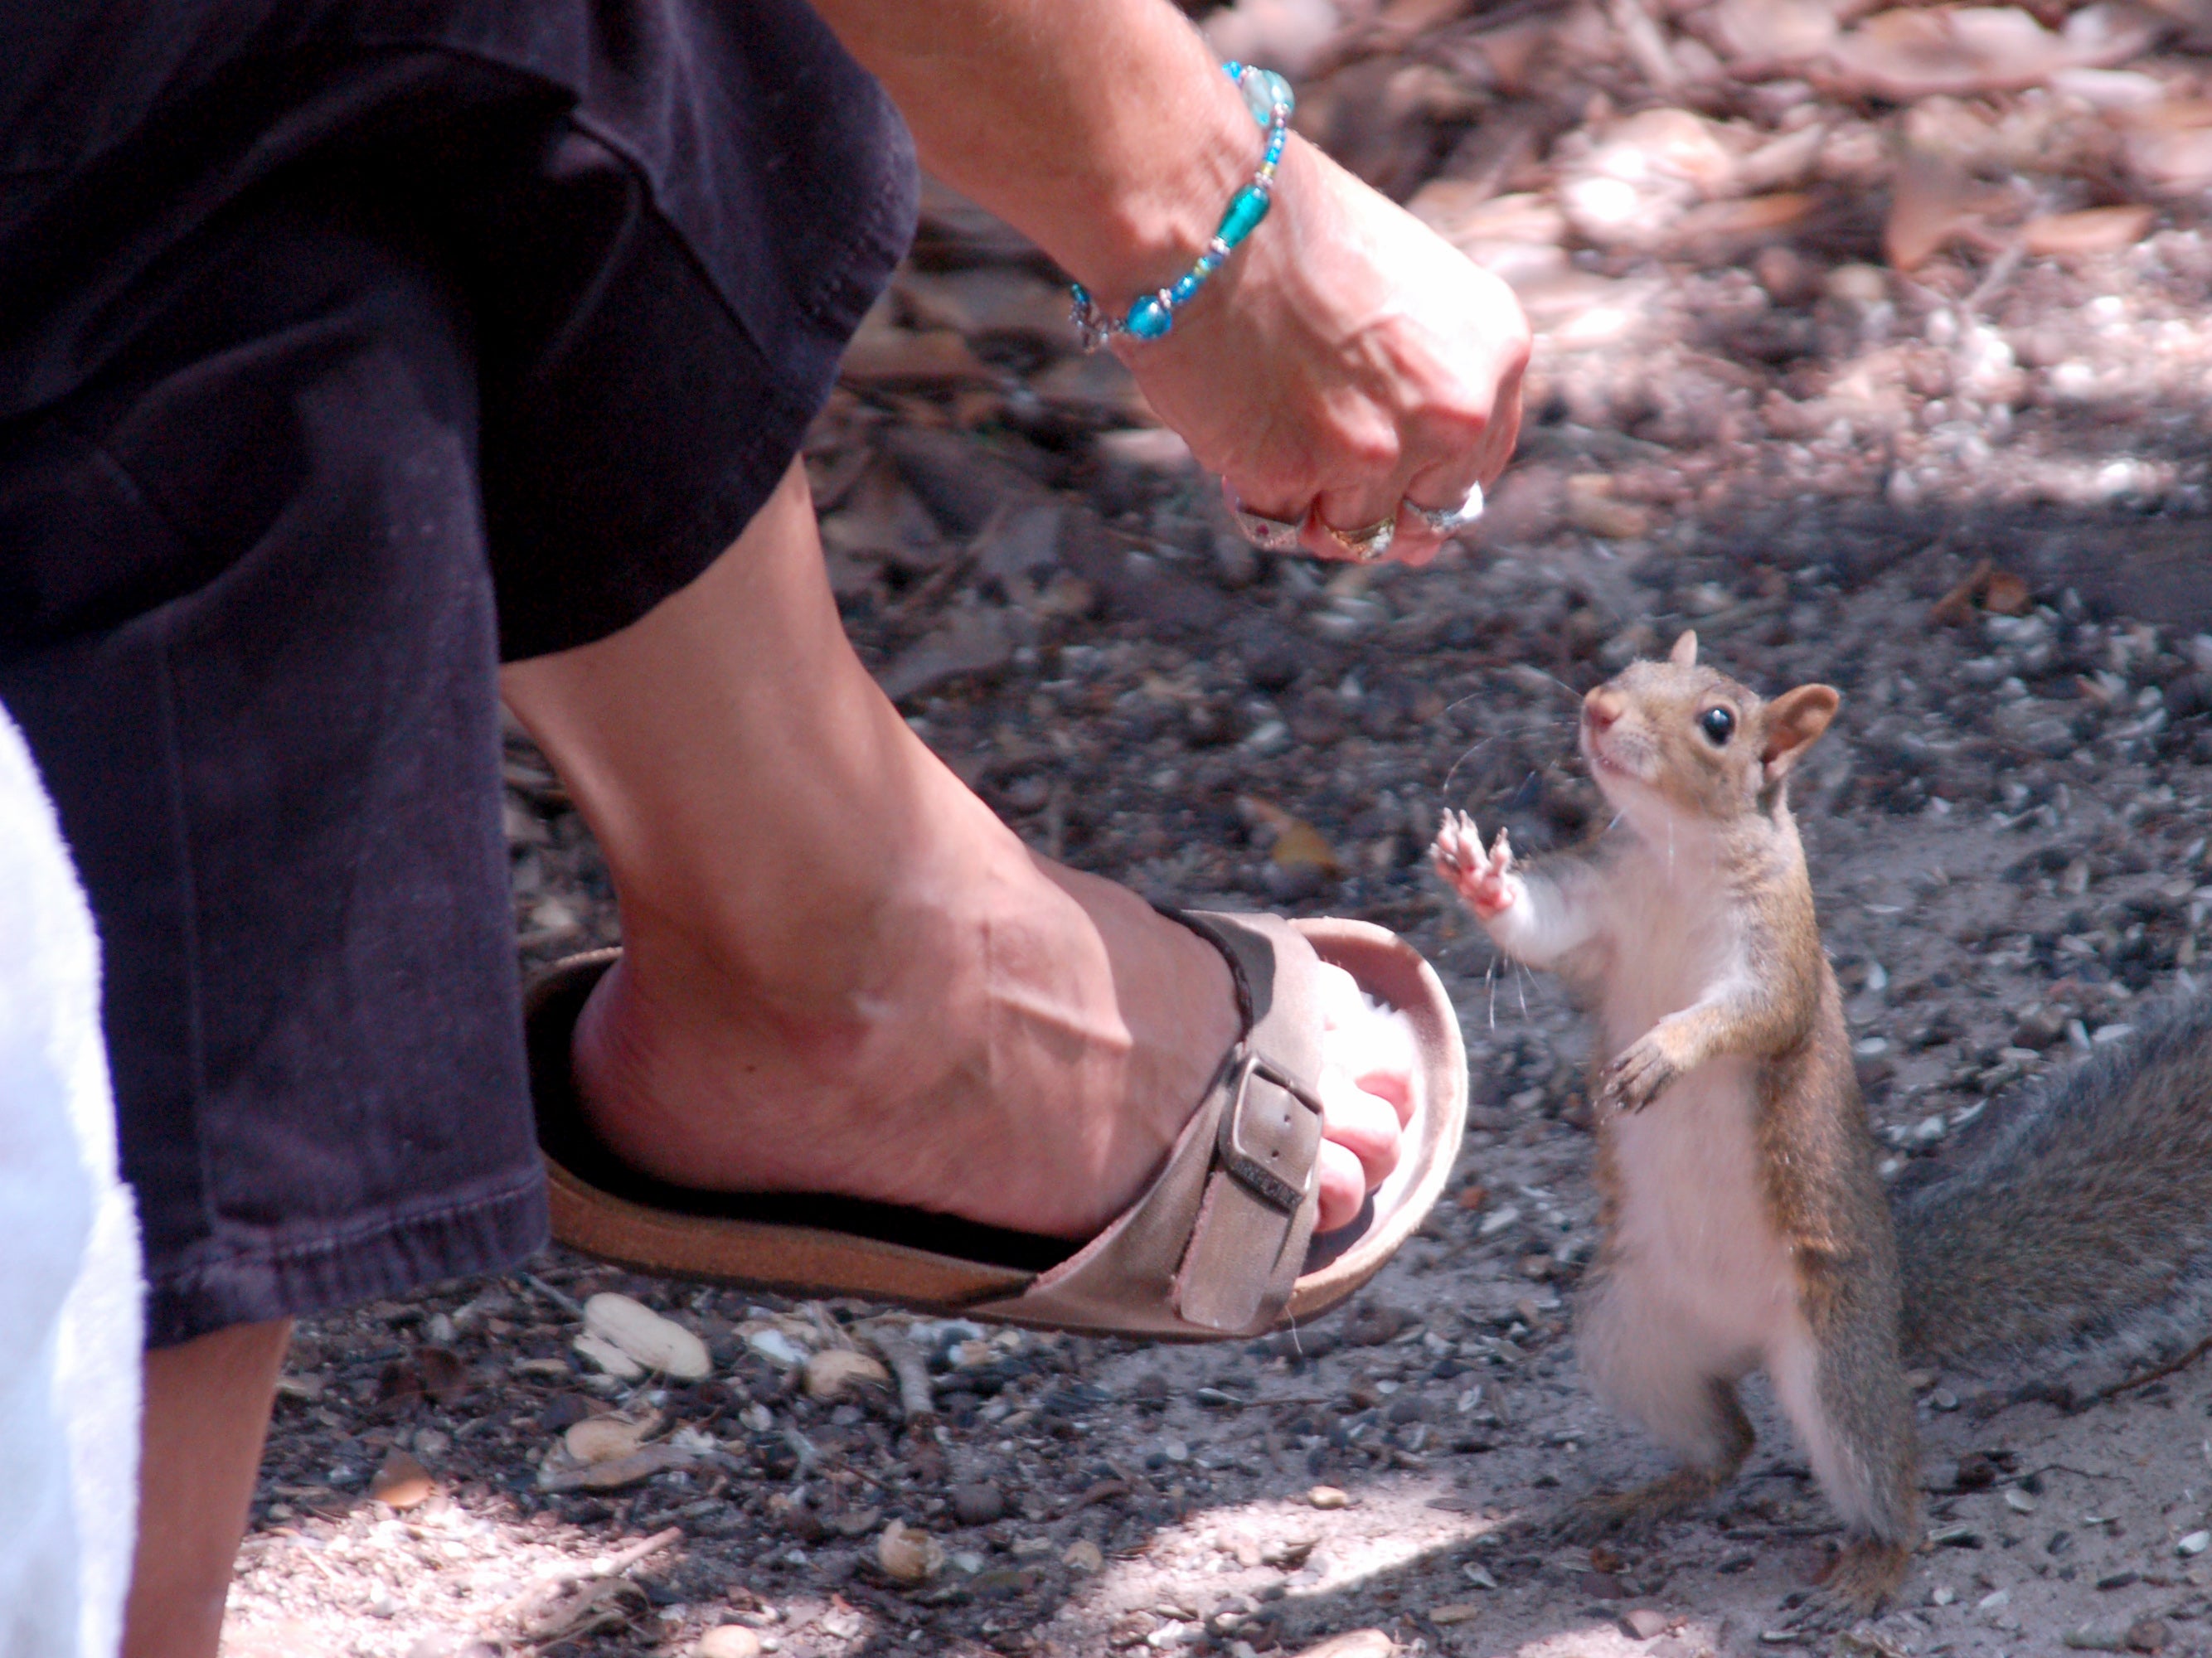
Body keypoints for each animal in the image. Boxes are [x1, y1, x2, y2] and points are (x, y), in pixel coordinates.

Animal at [1424, 628, 2212, 1626]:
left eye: (1719, 722)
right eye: (1632, 666)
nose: (1597, 710)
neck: (1678, 852)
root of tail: (1889, 1301)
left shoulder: (1779, 952)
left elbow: (1750, 1013)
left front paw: (1666, 1051)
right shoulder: (1594, 911)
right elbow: (1535, 927)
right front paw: (1479, 876)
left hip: (1834, 1368)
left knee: (1885, 1487)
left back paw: (1867, 1571)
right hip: (1627, 1332)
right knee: (1727, 1443)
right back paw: (1641, 1495)